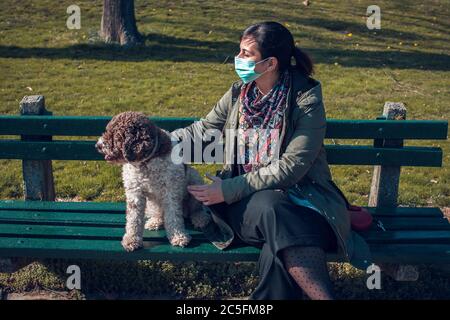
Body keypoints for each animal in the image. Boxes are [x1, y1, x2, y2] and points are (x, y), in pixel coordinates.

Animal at [95, 111, 211, 251]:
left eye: (115, 134)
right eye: (107, 131)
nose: (97, 145)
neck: (145, 164)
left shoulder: (170, 191)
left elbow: (173, 216)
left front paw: (178, 237)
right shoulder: (135, 193)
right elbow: (133, 218)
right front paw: (131, 240)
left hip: (195, 180)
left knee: (196, 208)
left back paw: (200, 218)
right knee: (160, 213)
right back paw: (156, 221)